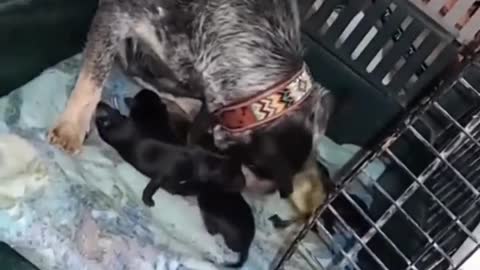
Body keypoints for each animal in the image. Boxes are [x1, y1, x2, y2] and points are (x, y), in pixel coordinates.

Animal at [94, 98, 244, 206]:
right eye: (230, 176)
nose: (243, 183)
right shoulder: (163, 174)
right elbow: (152, 187)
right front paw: (148, 200)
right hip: (112, 135)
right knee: (103, 128)